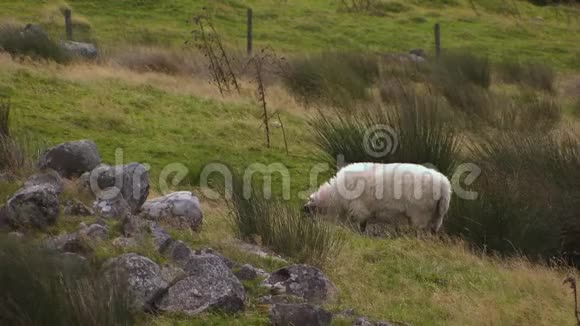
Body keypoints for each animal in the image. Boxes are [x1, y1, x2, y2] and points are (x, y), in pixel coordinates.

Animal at [306, 163, 450, 234]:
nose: (313, 229)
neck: (335, 195)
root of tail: (444, 185)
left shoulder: (359, 208)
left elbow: (361, 224)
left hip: (421, 214)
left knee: (421, 232)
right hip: (437, 215)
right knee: (432, 232)